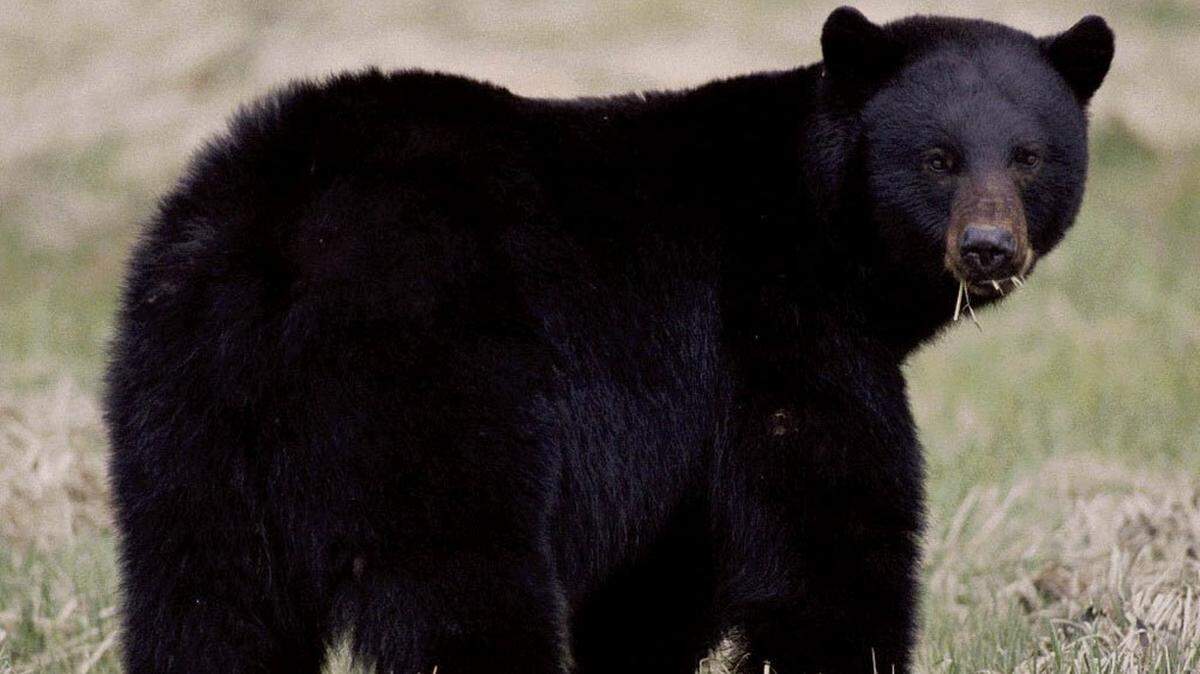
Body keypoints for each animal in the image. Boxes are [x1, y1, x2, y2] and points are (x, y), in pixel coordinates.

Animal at [104, 7, 1114, 673]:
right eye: (938, 158)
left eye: (1029, 155)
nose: (987, 248)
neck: (818, 218)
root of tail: (279, 239)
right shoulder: (769, 326)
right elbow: (826, 519)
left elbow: (661, 577)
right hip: (428, 383)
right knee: (462, 583)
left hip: (182, 408)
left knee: (202, 602)